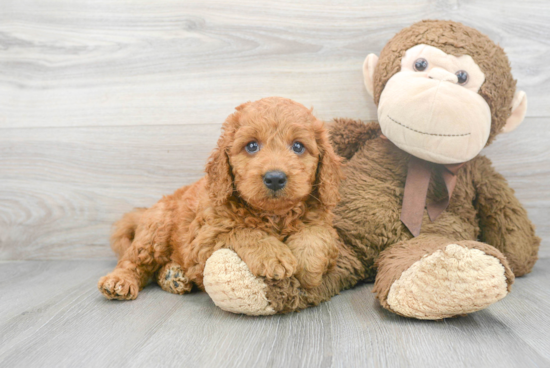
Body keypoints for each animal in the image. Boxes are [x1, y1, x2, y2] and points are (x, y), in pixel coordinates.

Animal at [97, 96, 342, 300]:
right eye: (252, 146)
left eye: (298, 146)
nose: (274, 178)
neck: (272, 215)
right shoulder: (204, 241)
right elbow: (242, 231)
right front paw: (273, 256)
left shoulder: (324, 223)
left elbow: (315, 233)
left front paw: (307, 267)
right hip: (156, 230)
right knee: (133, 260)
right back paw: (119, 280)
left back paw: (173, 276)